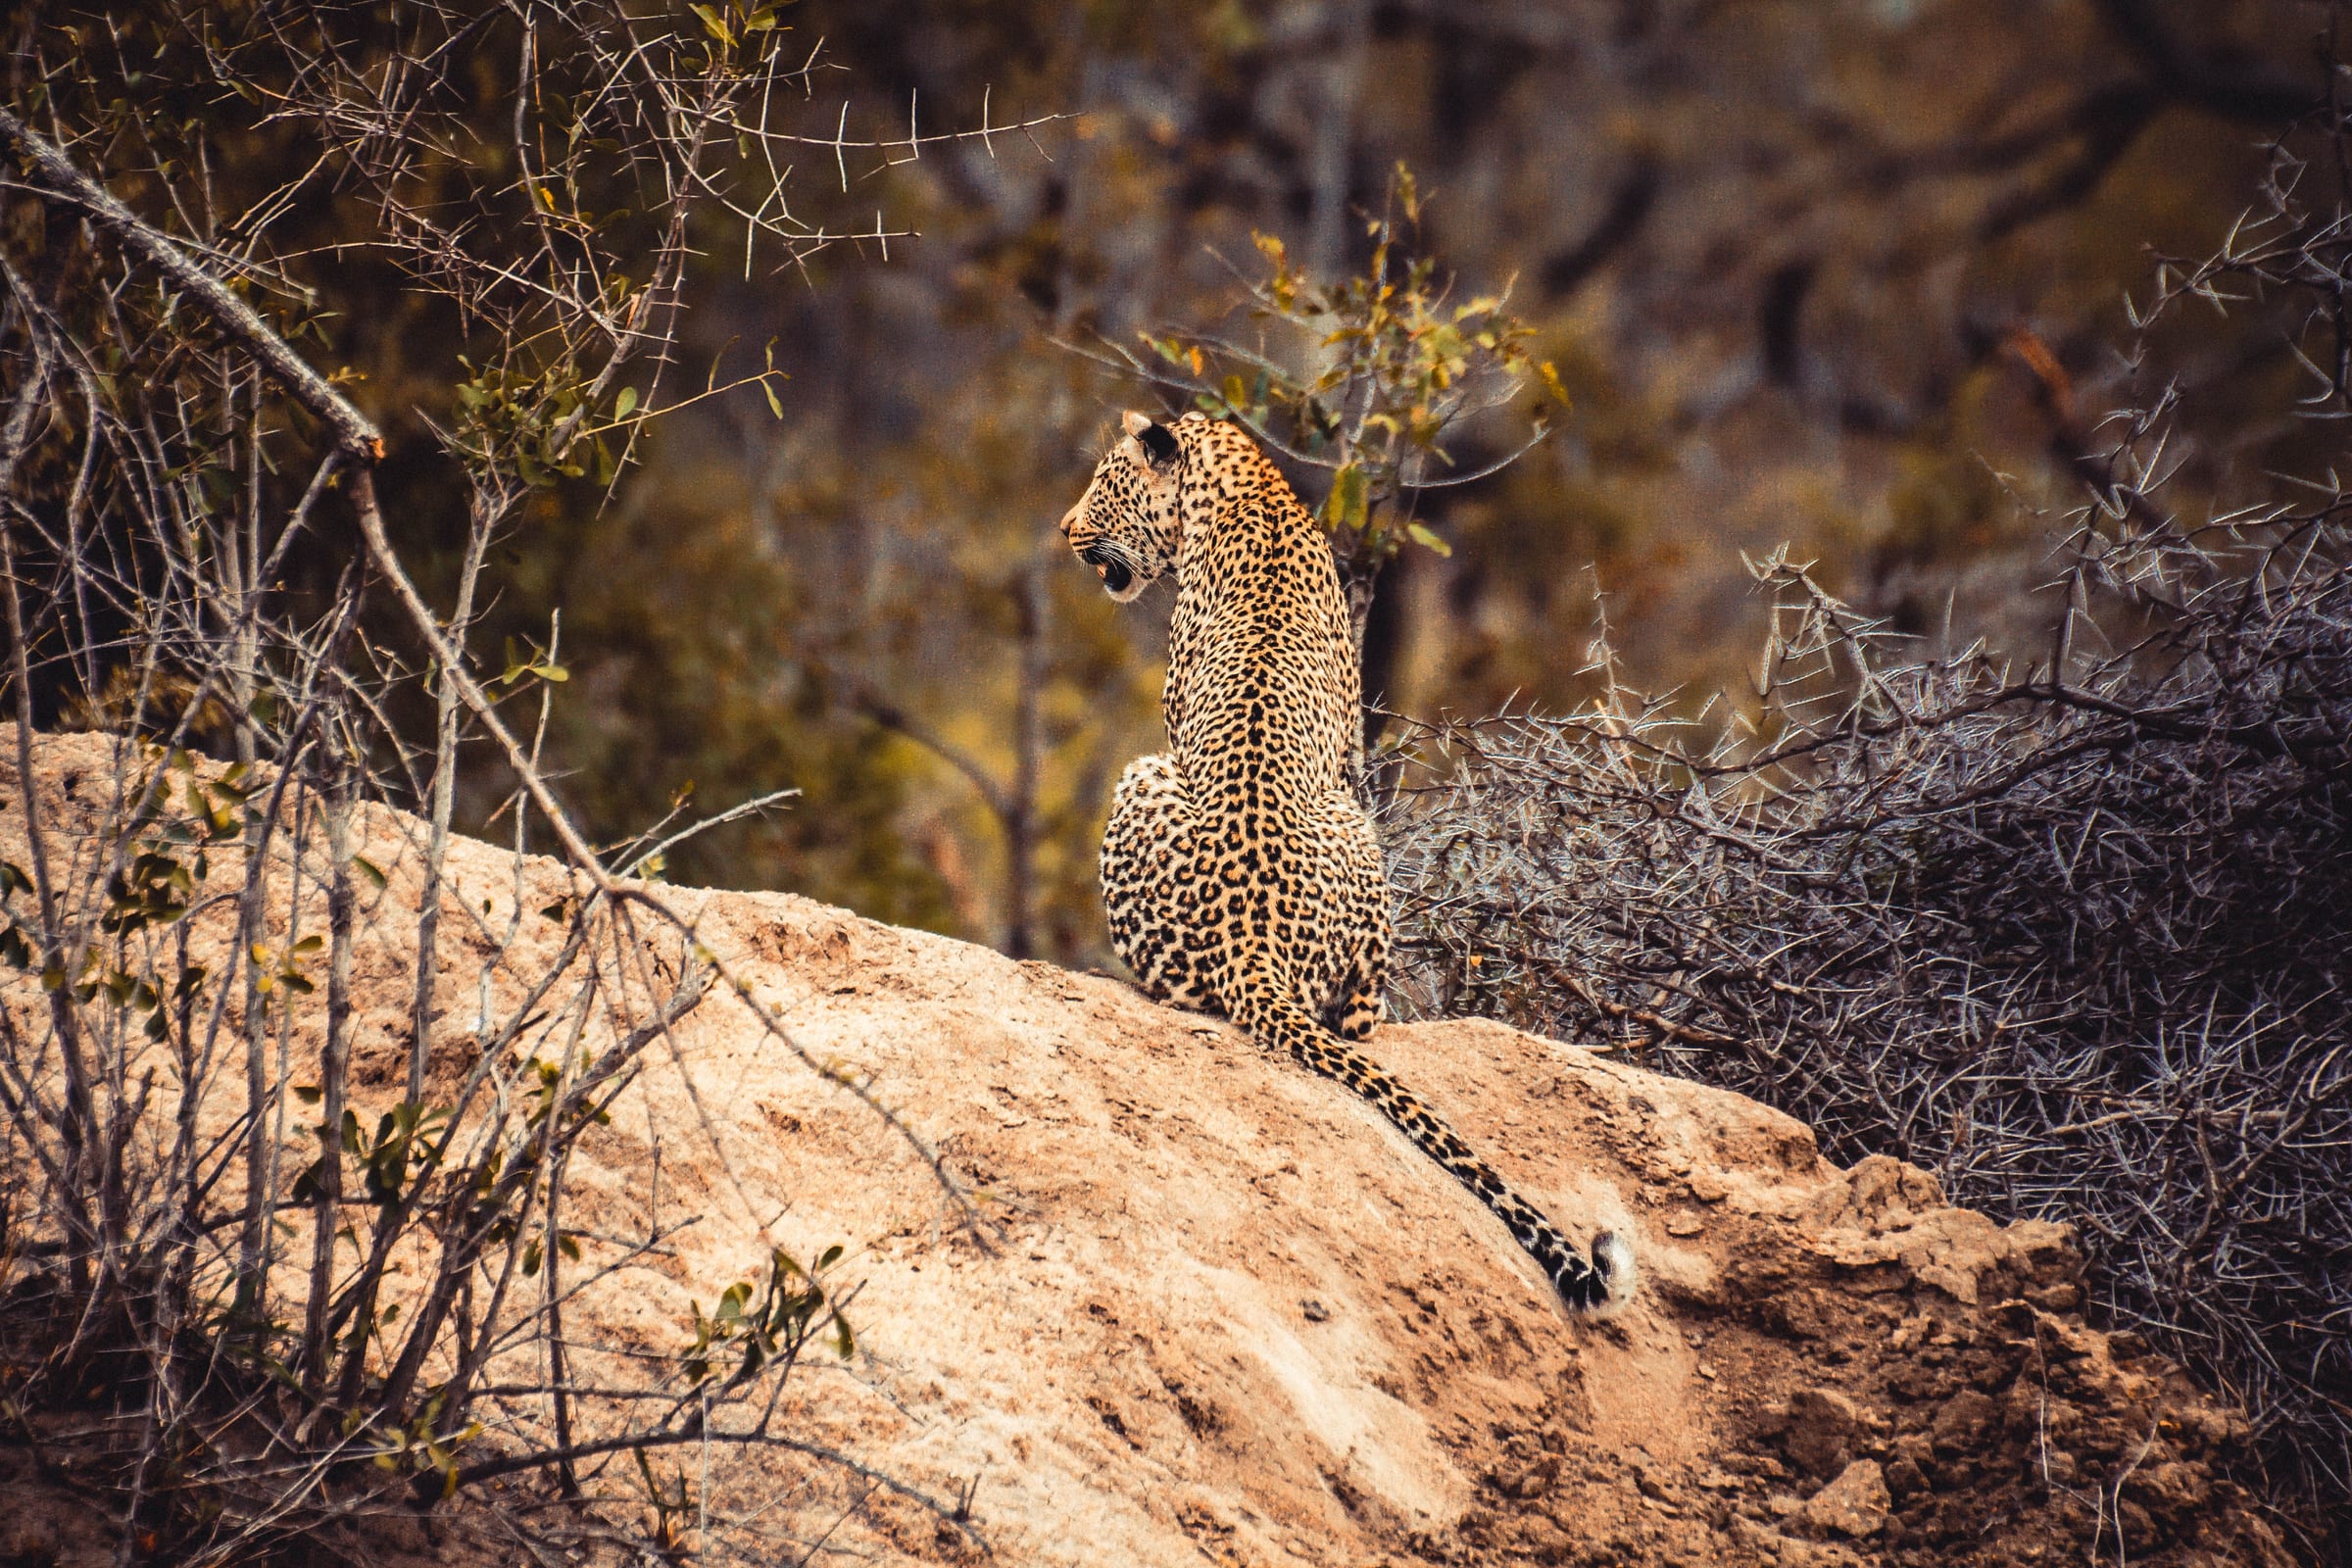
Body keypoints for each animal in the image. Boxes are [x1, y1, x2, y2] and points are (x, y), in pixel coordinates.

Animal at [1059, 409, 1635, 1317]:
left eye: (1103, 486)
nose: (1064, 528)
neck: (1245, 482)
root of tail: (1252, 944)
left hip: (1149, 772)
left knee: (1332, 1017)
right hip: (1338, 821)